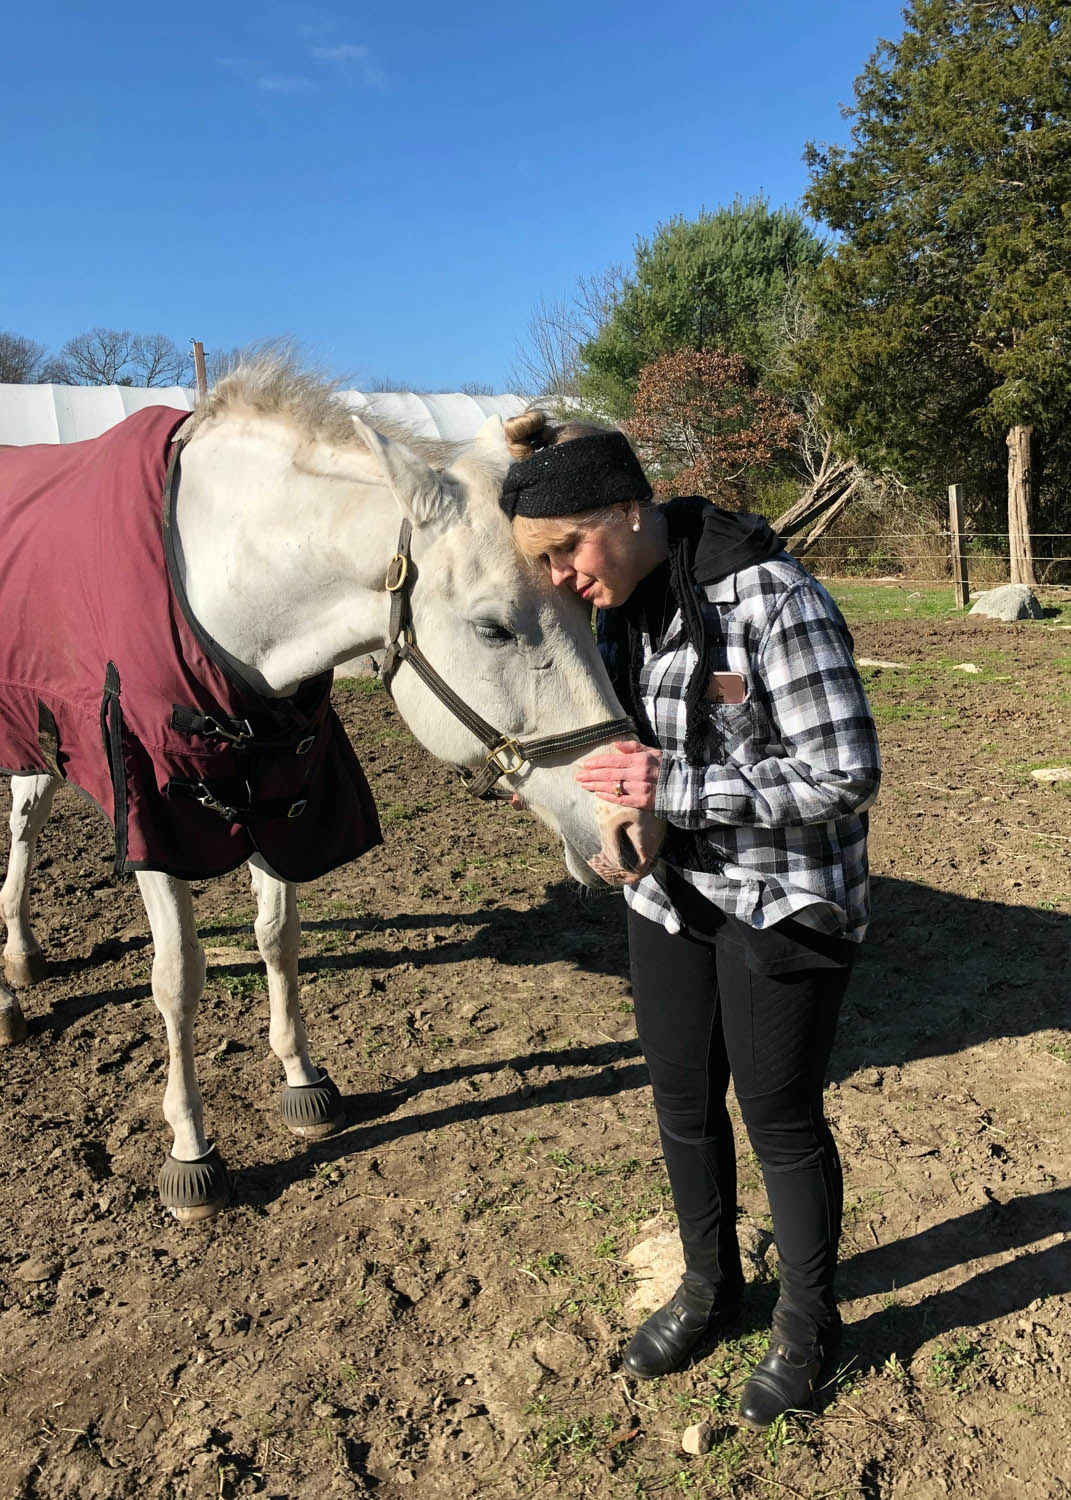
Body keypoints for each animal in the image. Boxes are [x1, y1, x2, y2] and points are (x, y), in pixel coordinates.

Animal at [0, 360, 663, 1218]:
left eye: (589, 602)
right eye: (493, 627)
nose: (633, 828)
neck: (220, 593)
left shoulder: (285, 794)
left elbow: (277, 936)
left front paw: (301, 1080)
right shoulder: (156, 815)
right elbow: (178, 979)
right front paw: (190, 1151)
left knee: (26, 820)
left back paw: (21, 958)